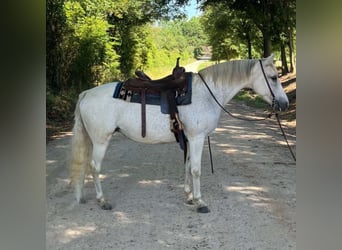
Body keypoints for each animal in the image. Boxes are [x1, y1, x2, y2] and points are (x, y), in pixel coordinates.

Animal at [69, 53, 288, 212]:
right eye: (273, 78)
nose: (285, 104)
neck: (207, 94)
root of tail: (86, 93)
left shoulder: (190, 138)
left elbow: (188, 165)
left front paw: (189, 197)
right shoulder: (197, 138)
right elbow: (196, 169)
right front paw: (200, 202)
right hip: (101, 140)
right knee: (94, 167)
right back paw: (102, 201)